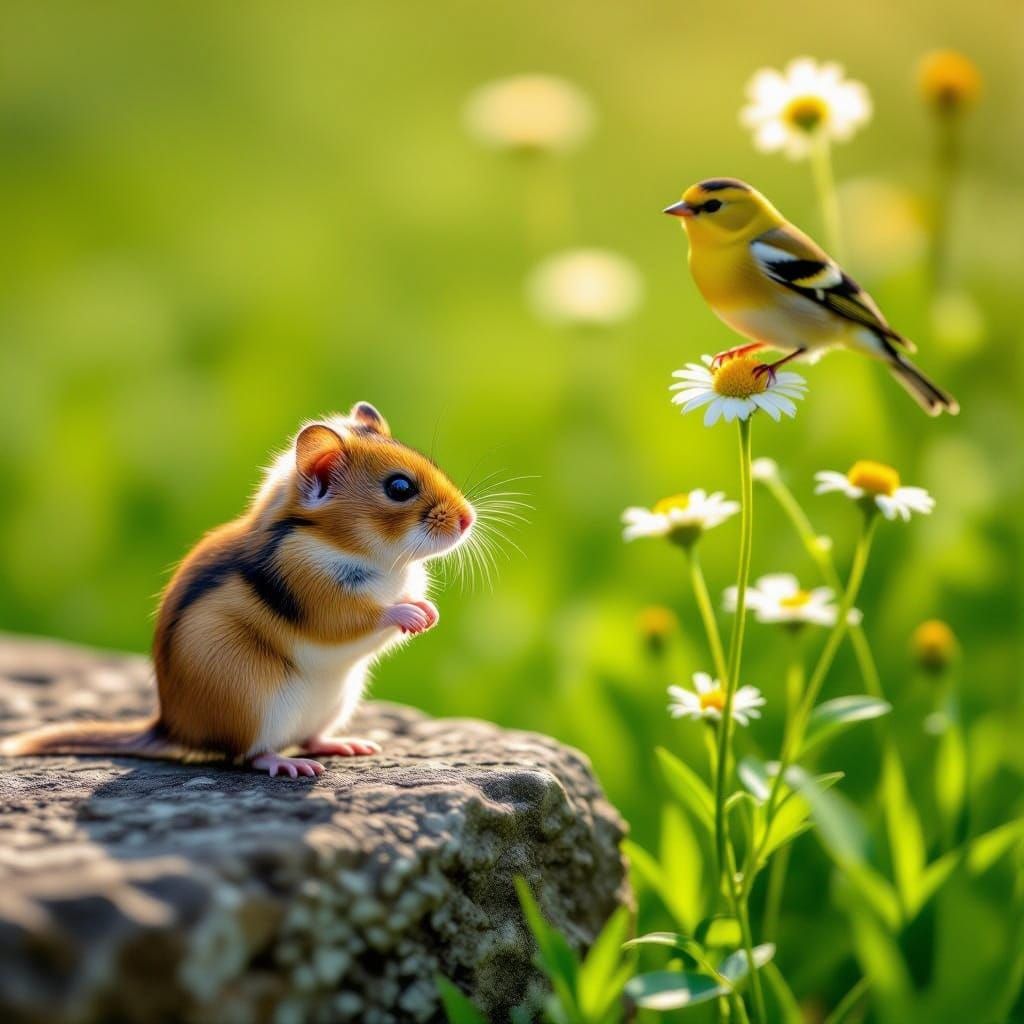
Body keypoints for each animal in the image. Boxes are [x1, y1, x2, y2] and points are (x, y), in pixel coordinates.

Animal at [3, 402, 474, 778]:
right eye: (400, 487)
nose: (467, 519)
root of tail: (171, 727)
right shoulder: (308, 588)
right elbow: (349, 618)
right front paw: (408, 613)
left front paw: (428, 610)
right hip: (254, 703)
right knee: (247, 754)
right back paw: (286, 764)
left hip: (336, 702)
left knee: (309, 736)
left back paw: (343, 744)